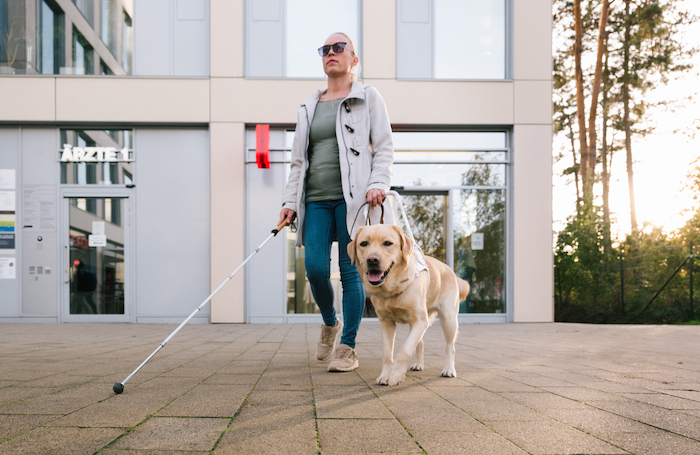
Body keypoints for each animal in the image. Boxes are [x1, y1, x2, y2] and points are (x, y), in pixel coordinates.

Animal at [346, 224, 468, 384]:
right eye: (363, 243)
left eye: (387, 243)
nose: (372, 260)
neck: (392, 288)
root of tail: (450, 269)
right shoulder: (386, 322)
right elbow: (388, 354)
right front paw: (384, 375)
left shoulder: (420, 321)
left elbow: (405, 350)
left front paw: (395, 375)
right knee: (420, 343)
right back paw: (418, 364)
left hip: (448, 319)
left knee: (450, 346)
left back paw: (449, 369)